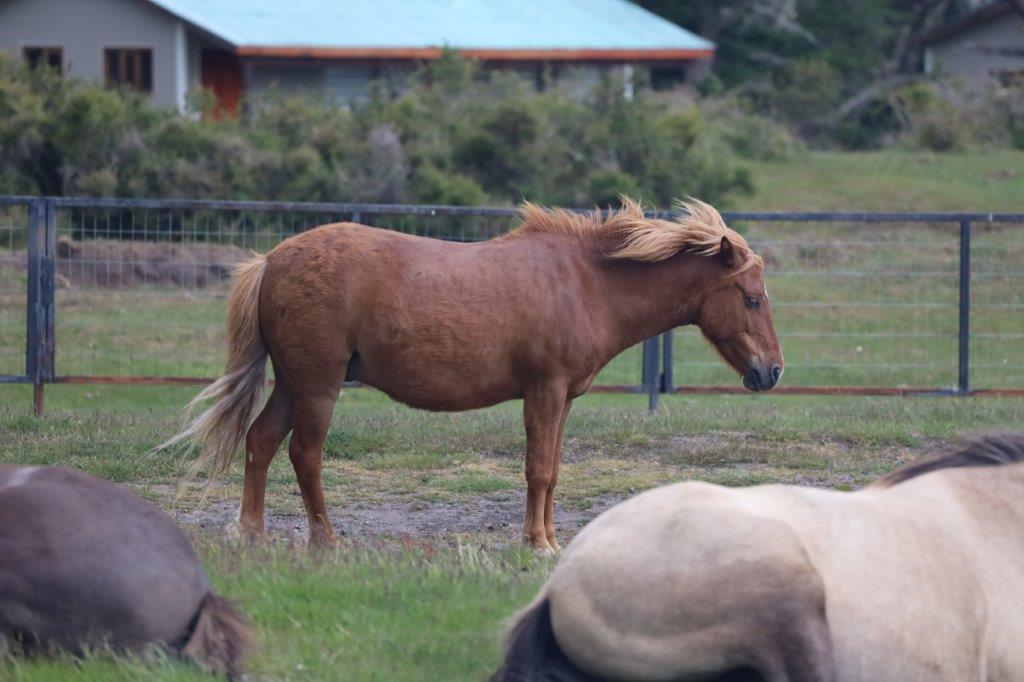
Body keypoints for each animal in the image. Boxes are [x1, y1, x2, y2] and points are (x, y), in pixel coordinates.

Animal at [165, 196, 782, 548]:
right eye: (752, 299)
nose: (772, 372)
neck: (588, 280)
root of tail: (271, 260)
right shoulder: (544, 392)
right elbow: (538, 470)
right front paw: (537, 544)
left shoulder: (563, 400)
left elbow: (553, 471)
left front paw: (549, 538)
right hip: (317, 385)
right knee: (305, 454)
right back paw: (326, 540)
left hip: (293, 383)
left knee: (261, 442)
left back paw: (252, 534)